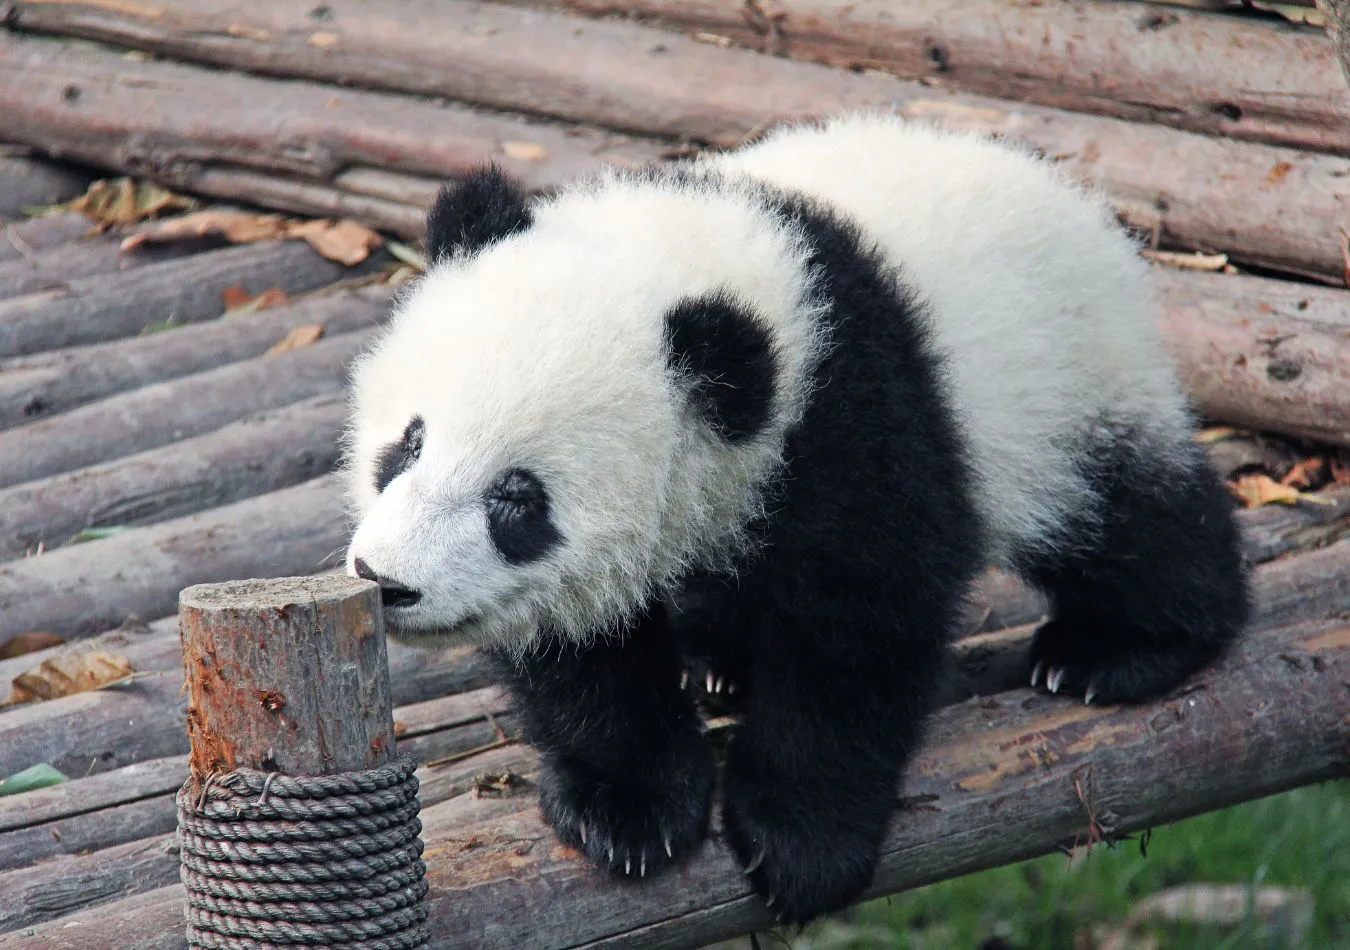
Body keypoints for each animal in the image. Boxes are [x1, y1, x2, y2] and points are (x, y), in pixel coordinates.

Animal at [343, 113, 1249, 926]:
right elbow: (584, 650)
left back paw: (1117, 650)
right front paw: (628, 808)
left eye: (517, 500)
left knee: (1123, 514)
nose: (387, 581)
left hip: (1065, 379)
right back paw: (721, 661)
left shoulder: (853, 415)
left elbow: (857, 627)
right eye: (409, 442)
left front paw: (800, 843)